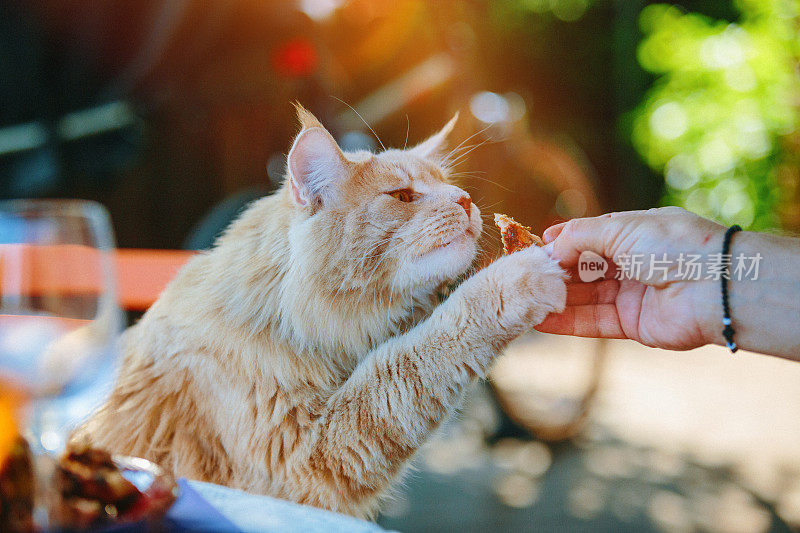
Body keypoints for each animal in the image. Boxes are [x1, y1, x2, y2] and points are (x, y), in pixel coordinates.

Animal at [72, 106, 564, 516]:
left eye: (451, 186)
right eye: (403, 197)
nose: (464, 199)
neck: (283, 315)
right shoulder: (305, 461)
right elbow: (415, 356)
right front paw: (517, 277)